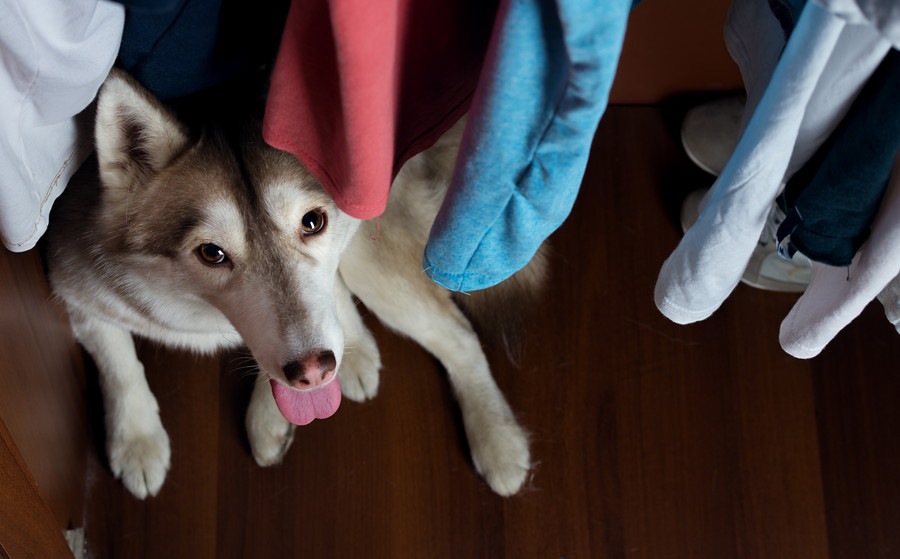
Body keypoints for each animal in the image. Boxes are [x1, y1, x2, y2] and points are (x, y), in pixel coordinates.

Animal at [45, 70, 548, 498]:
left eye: (312, 222)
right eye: (211, 253)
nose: (315, 371)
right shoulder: (76, 283)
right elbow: (119, 365)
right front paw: (137, 439)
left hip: (370, 253)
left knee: (457, 334)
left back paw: (496, 438)